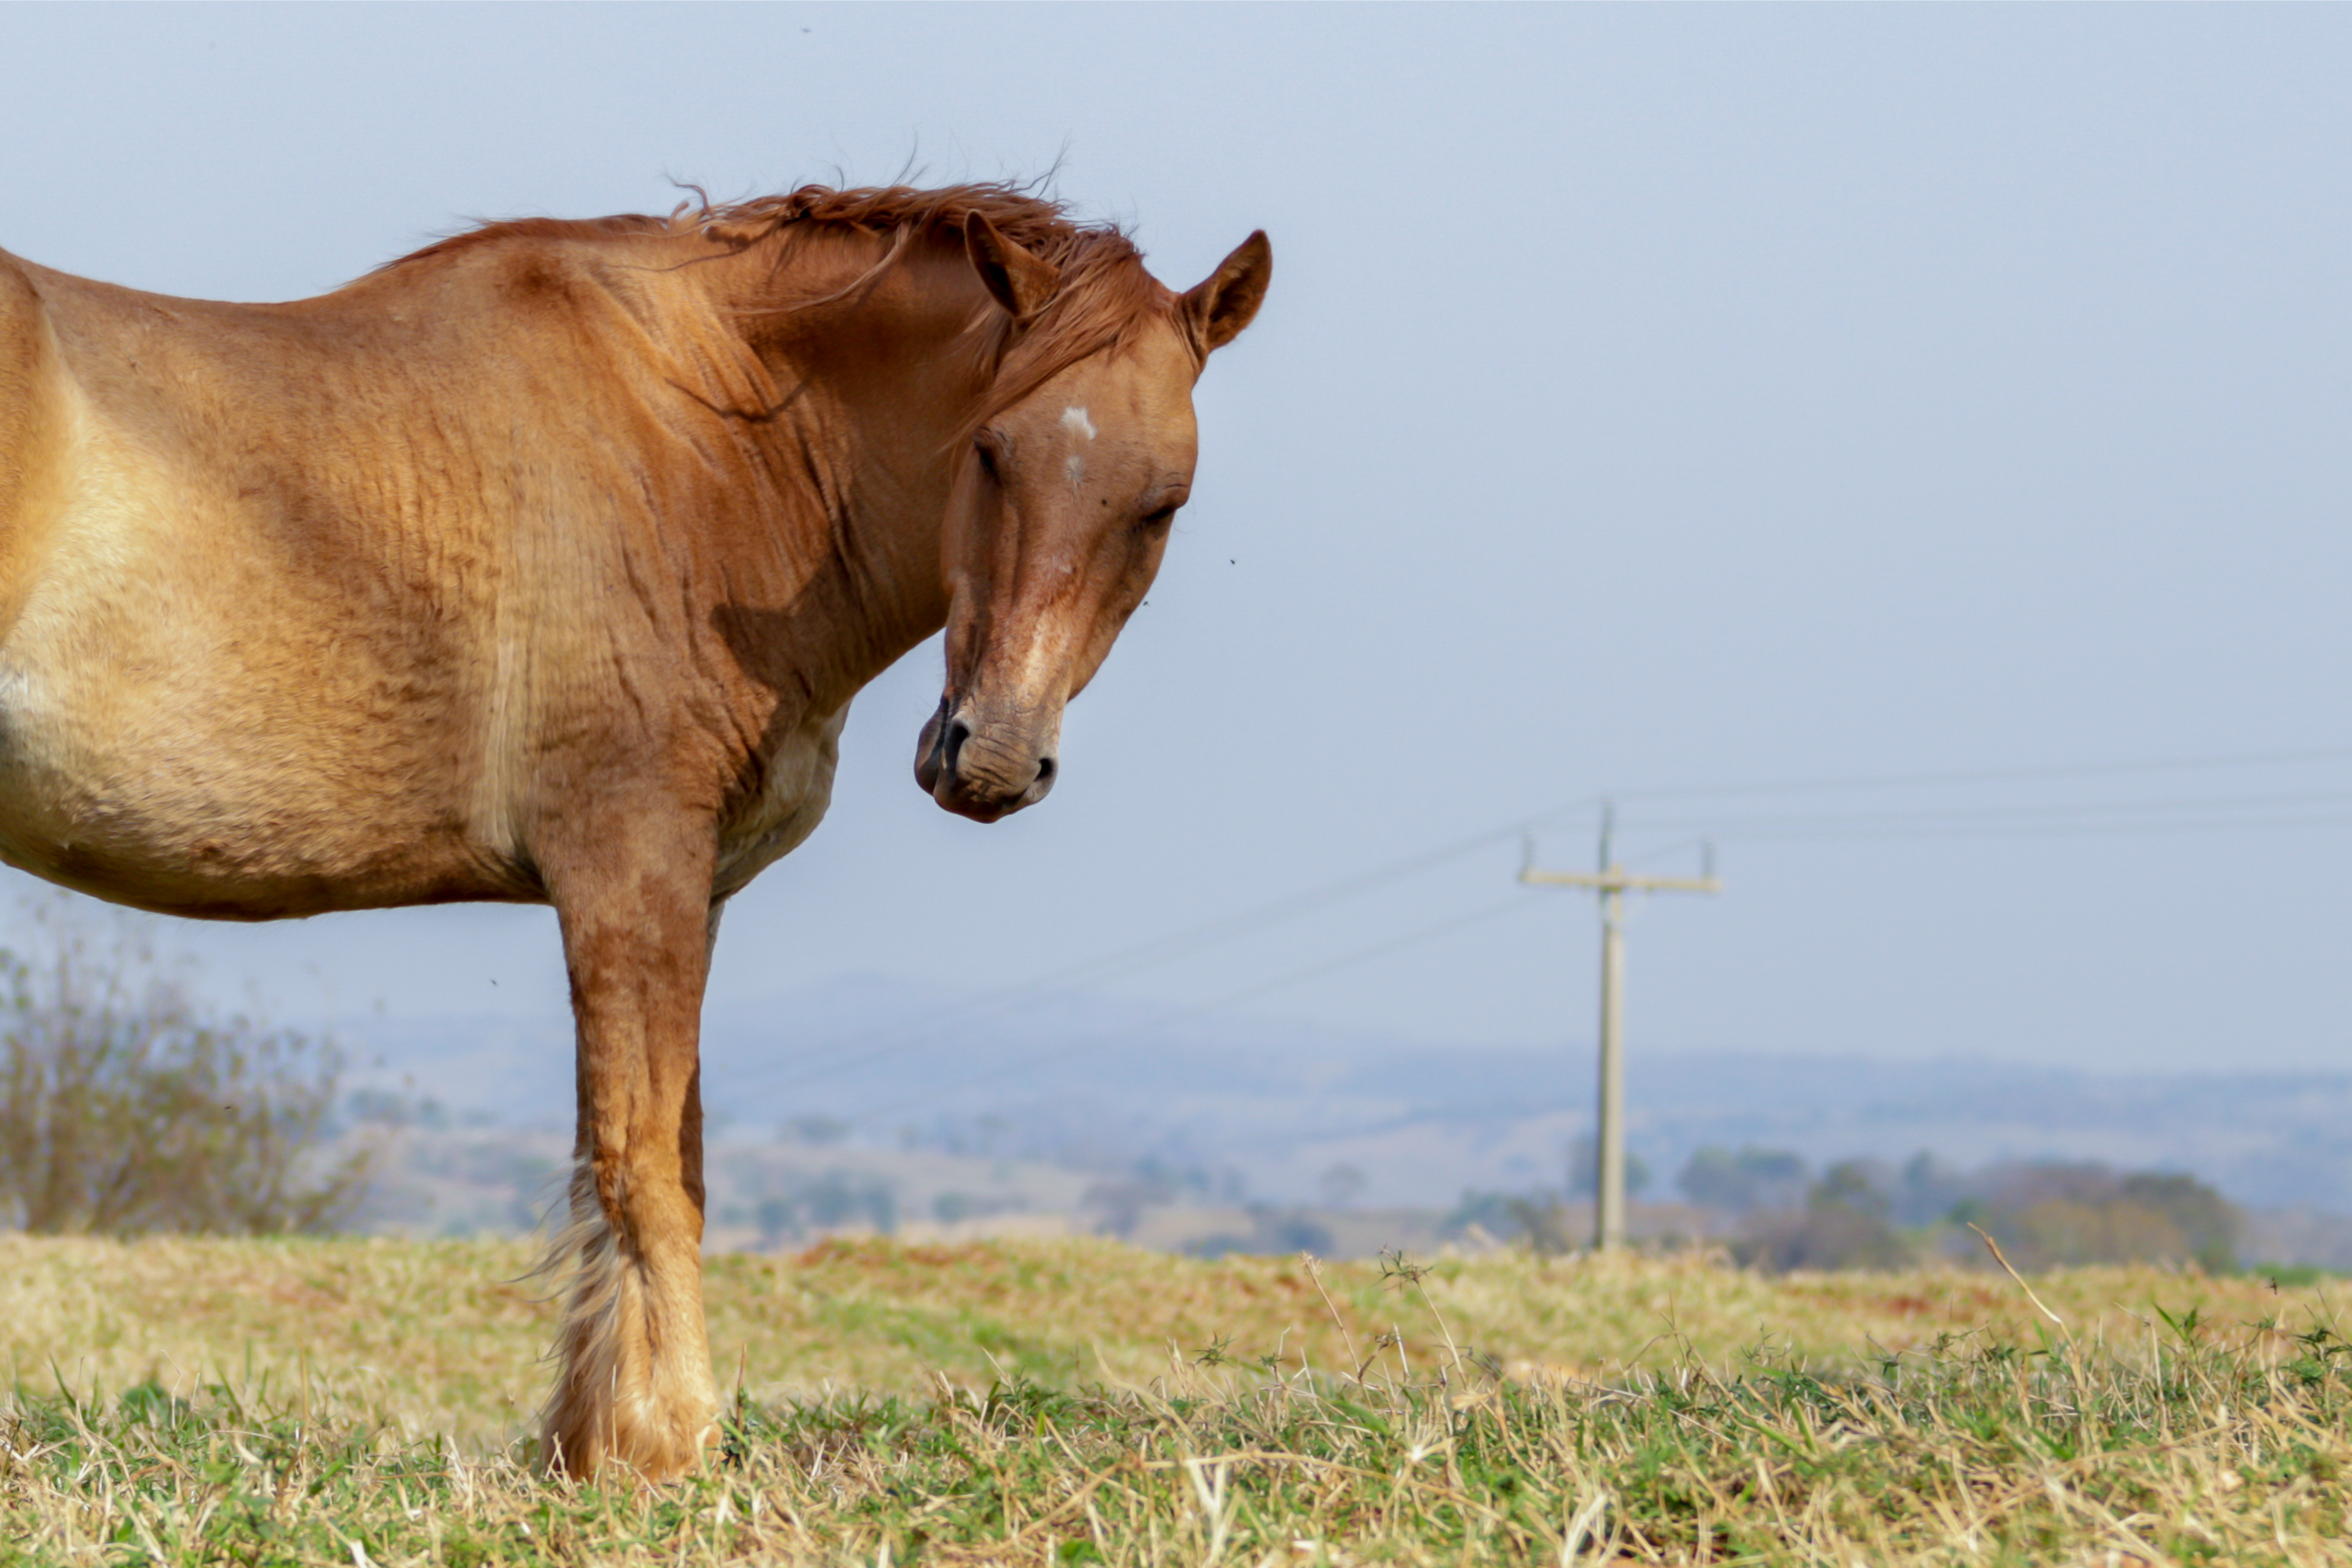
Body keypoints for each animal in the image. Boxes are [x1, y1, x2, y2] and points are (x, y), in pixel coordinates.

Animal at [0, 183, 1270, 1477]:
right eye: (991, 452)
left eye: (1161, 504)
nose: (993, 756)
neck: (701, 448)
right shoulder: (627, 870)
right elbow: (641, 1166)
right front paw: (672, 1445)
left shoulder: (687, 893)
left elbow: (658, 1161)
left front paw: (595, 1442)